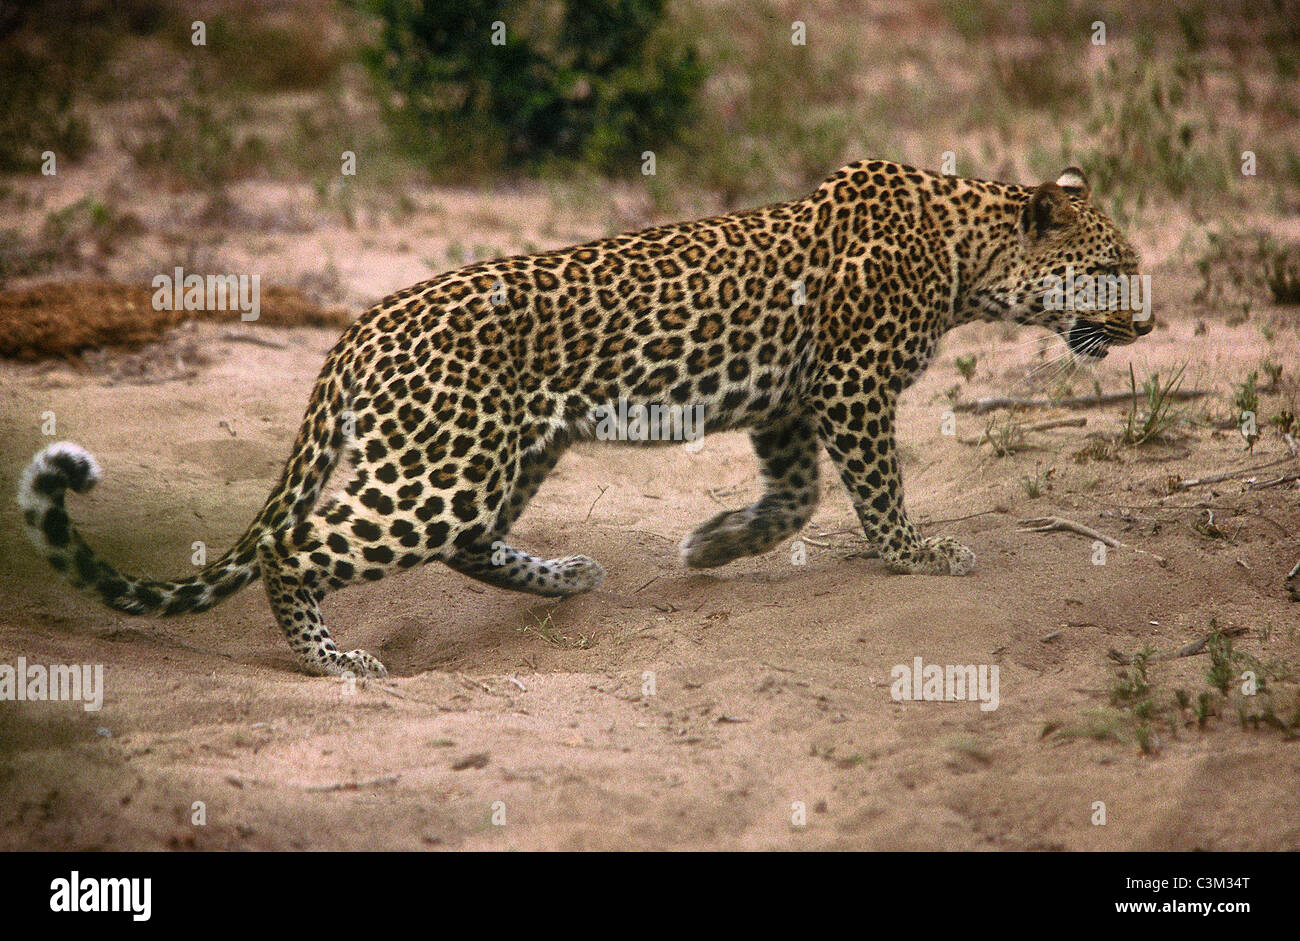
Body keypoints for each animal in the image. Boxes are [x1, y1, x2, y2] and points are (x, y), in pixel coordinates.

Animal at [12, 159, 1149, 675]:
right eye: (1108, 270)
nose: (1147, 321)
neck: (968, 255)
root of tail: (359, 326)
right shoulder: (852, 382)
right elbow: (872, 485)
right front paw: (917, 553)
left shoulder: (787, 398)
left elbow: (793, 495)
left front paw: (713, 543)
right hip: (440, 465)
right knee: (304, 546)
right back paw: (336, 662)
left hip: (498, 453)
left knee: (464, 543)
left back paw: (564, 576)